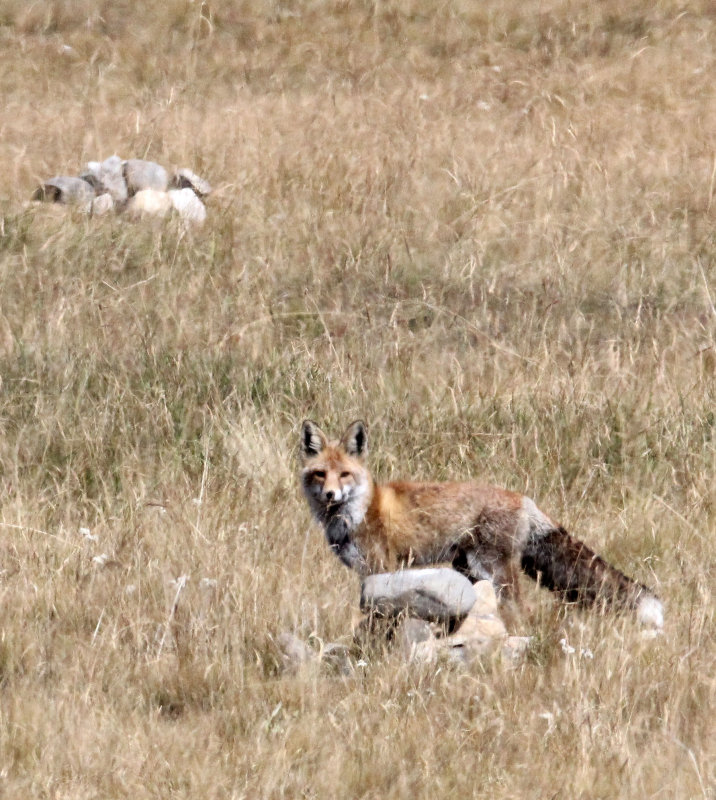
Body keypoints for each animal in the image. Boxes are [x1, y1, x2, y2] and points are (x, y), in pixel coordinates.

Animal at [300, 416, 664, 628]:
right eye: (320, 474)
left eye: (344, 474)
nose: (330, 495)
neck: (356, 512)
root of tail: (523, 498)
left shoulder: (380, 568)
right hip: (470, 571)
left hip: (493, 570)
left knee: (522, 612)